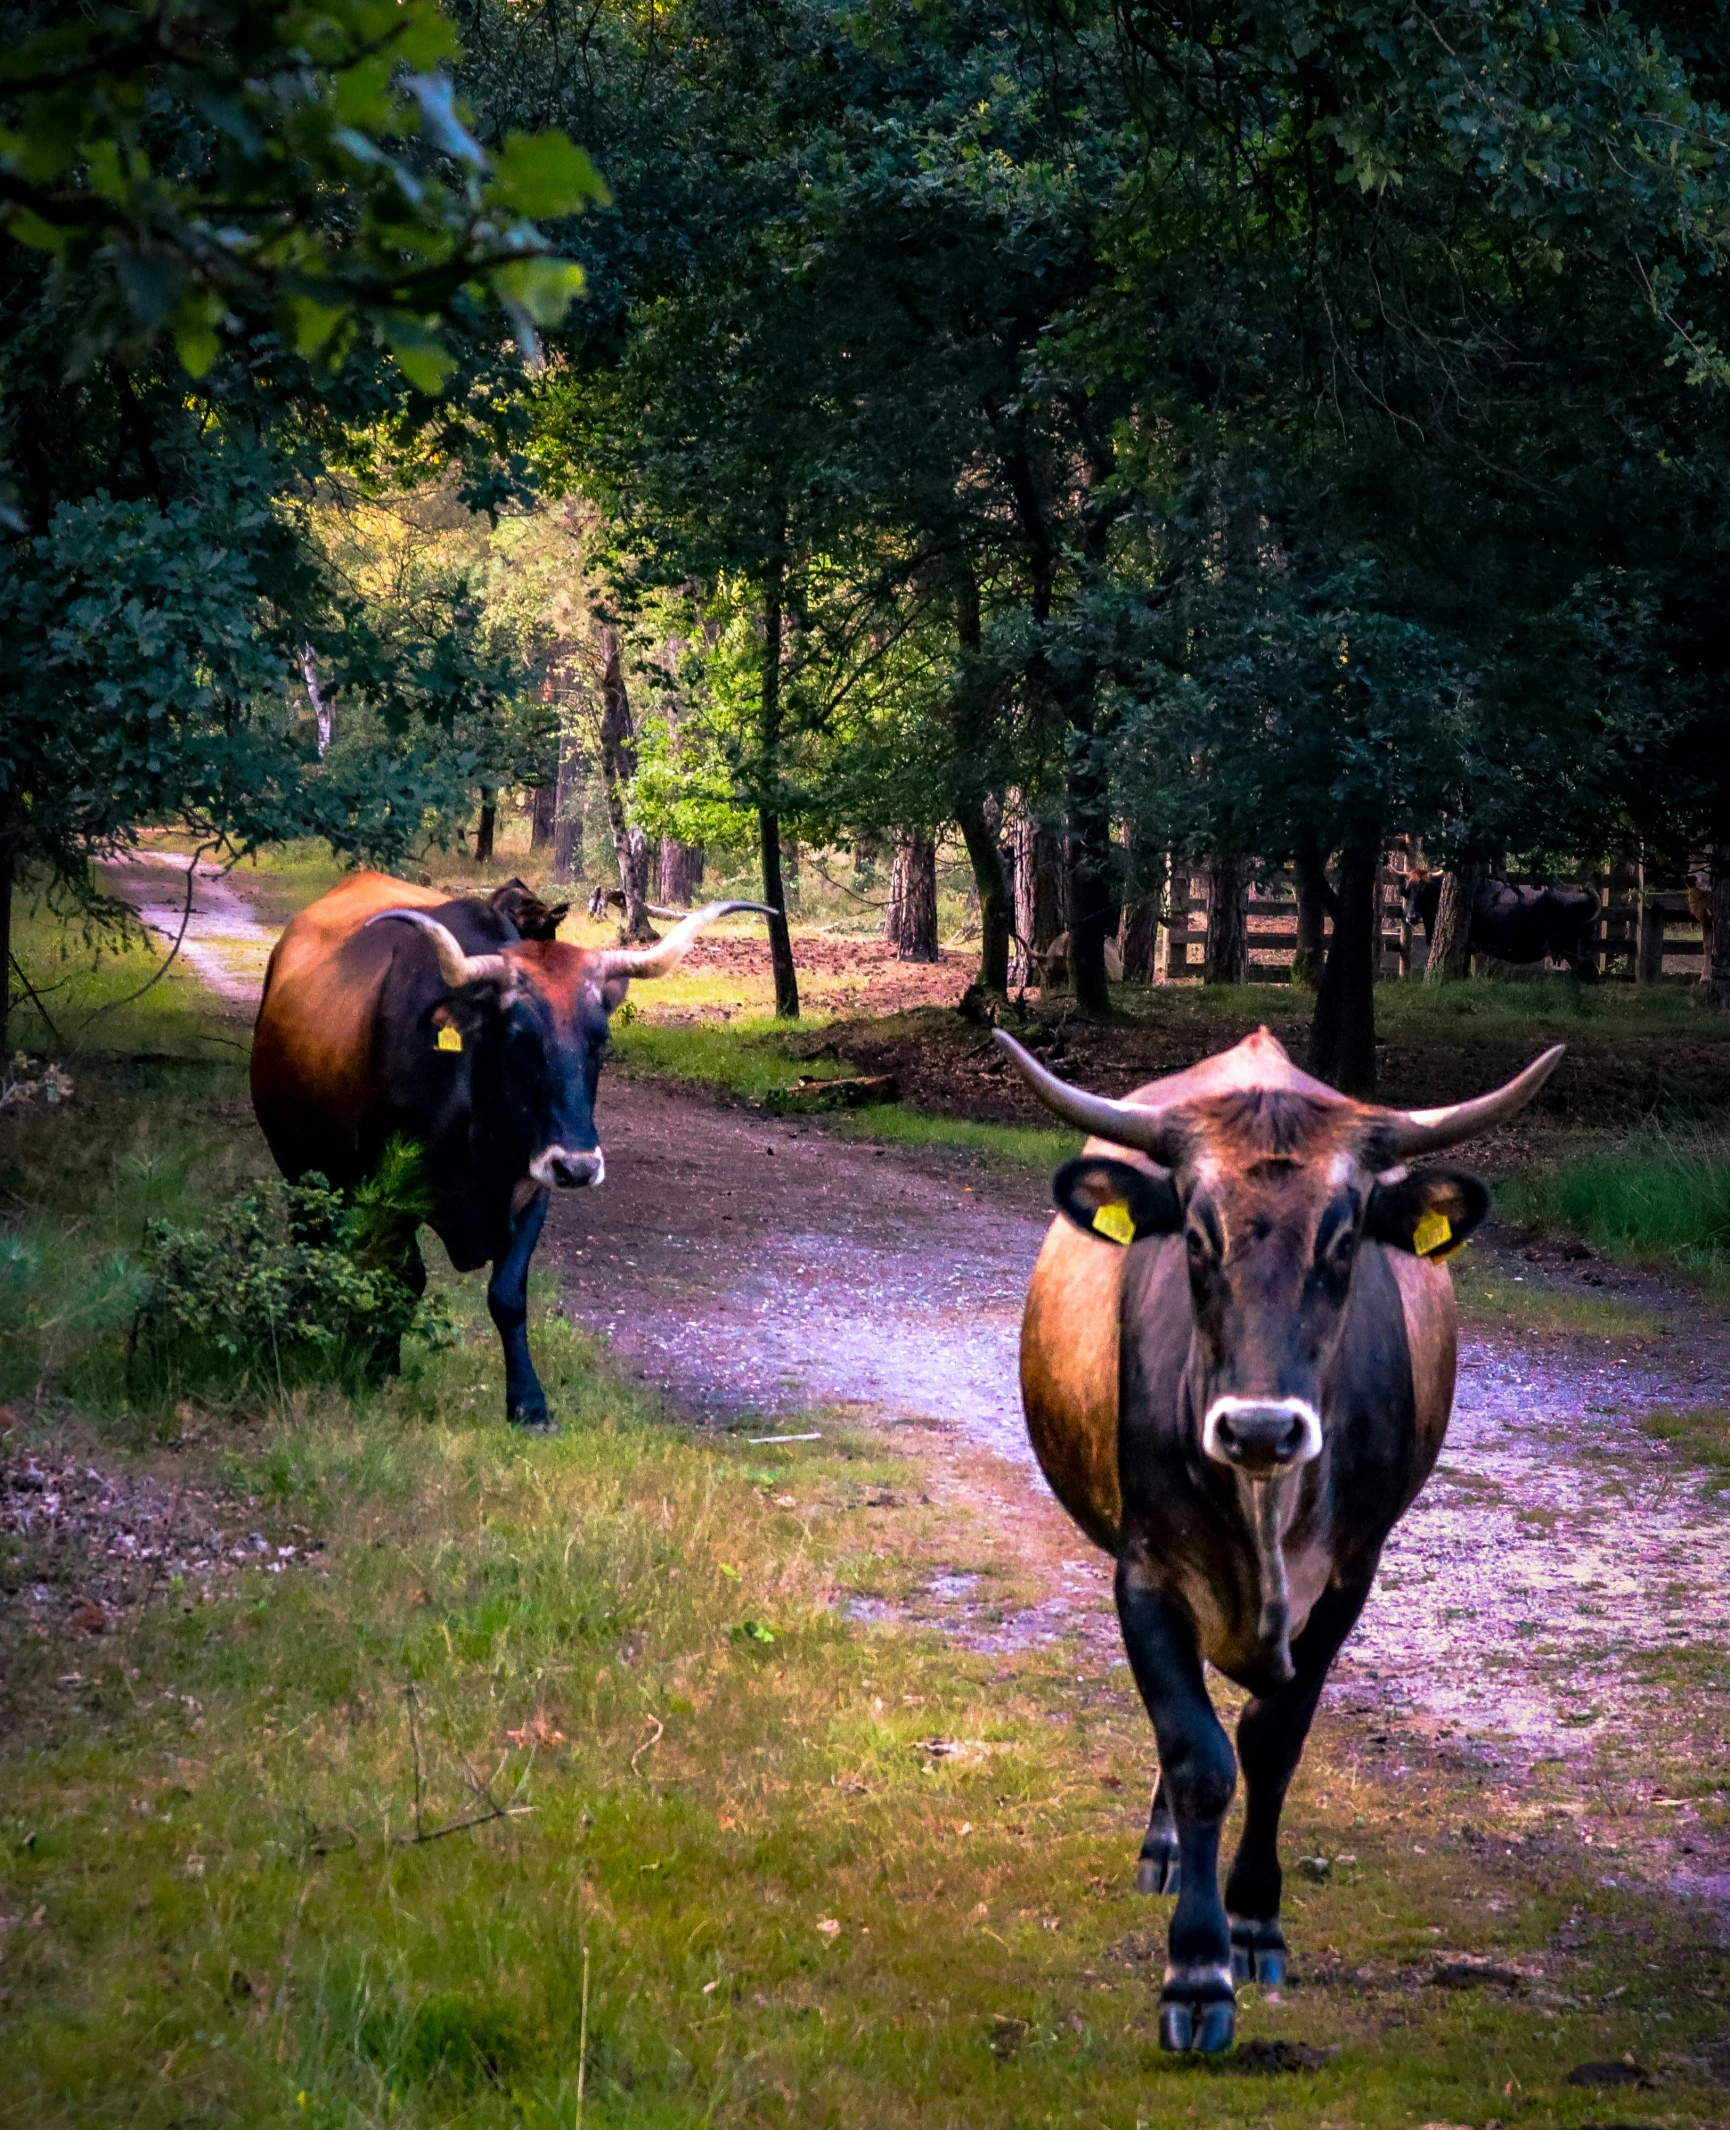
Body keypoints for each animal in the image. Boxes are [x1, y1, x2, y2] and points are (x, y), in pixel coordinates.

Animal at [250, 864, 771, 1431]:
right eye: (519, 1038)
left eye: (600, 1040)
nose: (578, 1166)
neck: (479, 1134)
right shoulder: (389, 1194)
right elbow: (402, 1279)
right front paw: (380, 1367)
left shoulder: (531, 1192)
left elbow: (508, 1296)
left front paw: (528, 1403)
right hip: (299, 1168)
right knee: (313, 1244)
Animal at [992, 1022, 1559, 2053]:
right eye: (1197, 1238)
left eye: (1343, 1239)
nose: (1260, 1428)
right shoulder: (1145, 1571)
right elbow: (1197, 1756)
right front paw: (1196, 1967)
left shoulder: (1349, 1579)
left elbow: (1273, 1742)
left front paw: (1254, 1918)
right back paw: (1168, 1850)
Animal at [1397, 869, 1602, 975]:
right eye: (1407, 890)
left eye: (1424, 891)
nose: (1412, 916)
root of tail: (1579, 888)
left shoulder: (1466, 947)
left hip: (1575, 951)